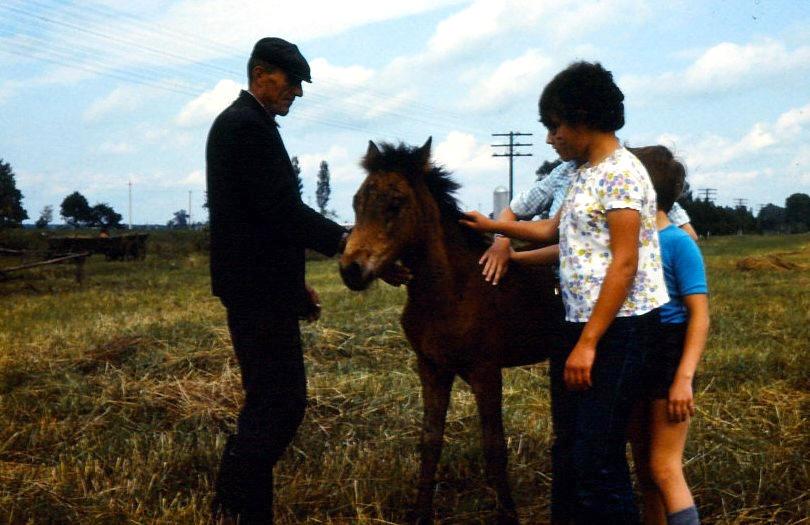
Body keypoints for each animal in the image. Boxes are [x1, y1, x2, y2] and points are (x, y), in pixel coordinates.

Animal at [336, 137, 560, 520]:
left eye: (396, 203)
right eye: (356, 202)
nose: (351, 270)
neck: (452, 290)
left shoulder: (486, 372)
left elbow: (494, 446)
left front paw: (508, 513)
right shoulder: (431, 368)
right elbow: (430, 440)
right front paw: (419, 513)